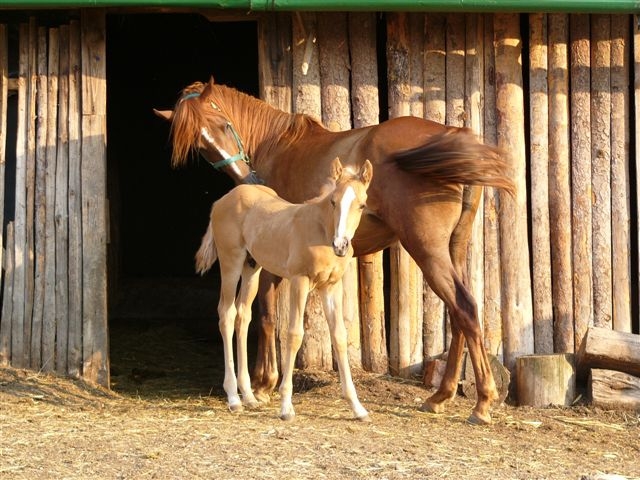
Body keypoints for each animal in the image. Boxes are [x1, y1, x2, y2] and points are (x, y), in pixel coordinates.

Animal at [198, 158, 372, 420]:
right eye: (333, 201)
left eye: (361, 205)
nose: (340, 245)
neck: (321, 230)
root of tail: (222, 200)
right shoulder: (300, 280)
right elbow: (294, 334)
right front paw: (286, 406)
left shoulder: (331, 286)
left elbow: (339, 336)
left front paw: (357, 407)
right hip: (231, 262)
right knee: (226, 314)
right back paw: (233, 398)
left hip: (252, 267)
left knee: (243, 316)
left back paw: (248, 396)